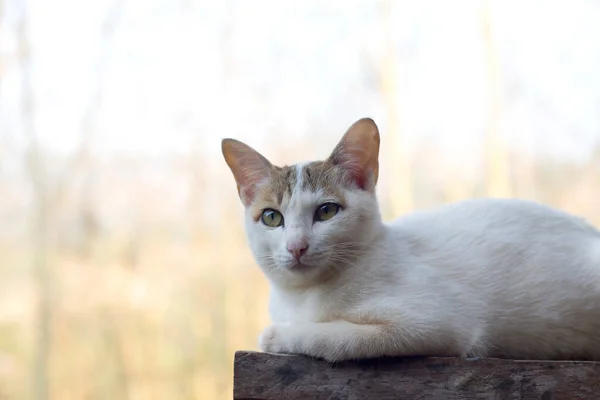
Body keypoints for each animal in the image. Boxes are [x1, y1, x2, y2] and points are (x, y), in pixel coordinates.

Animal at [220, 116, 600, 362]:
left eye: (327, 211)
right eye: (272, 217)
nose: (296, 246)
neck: (303, 297)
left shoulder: (434, 325)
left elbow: (338, 340)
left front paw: (280, 335)